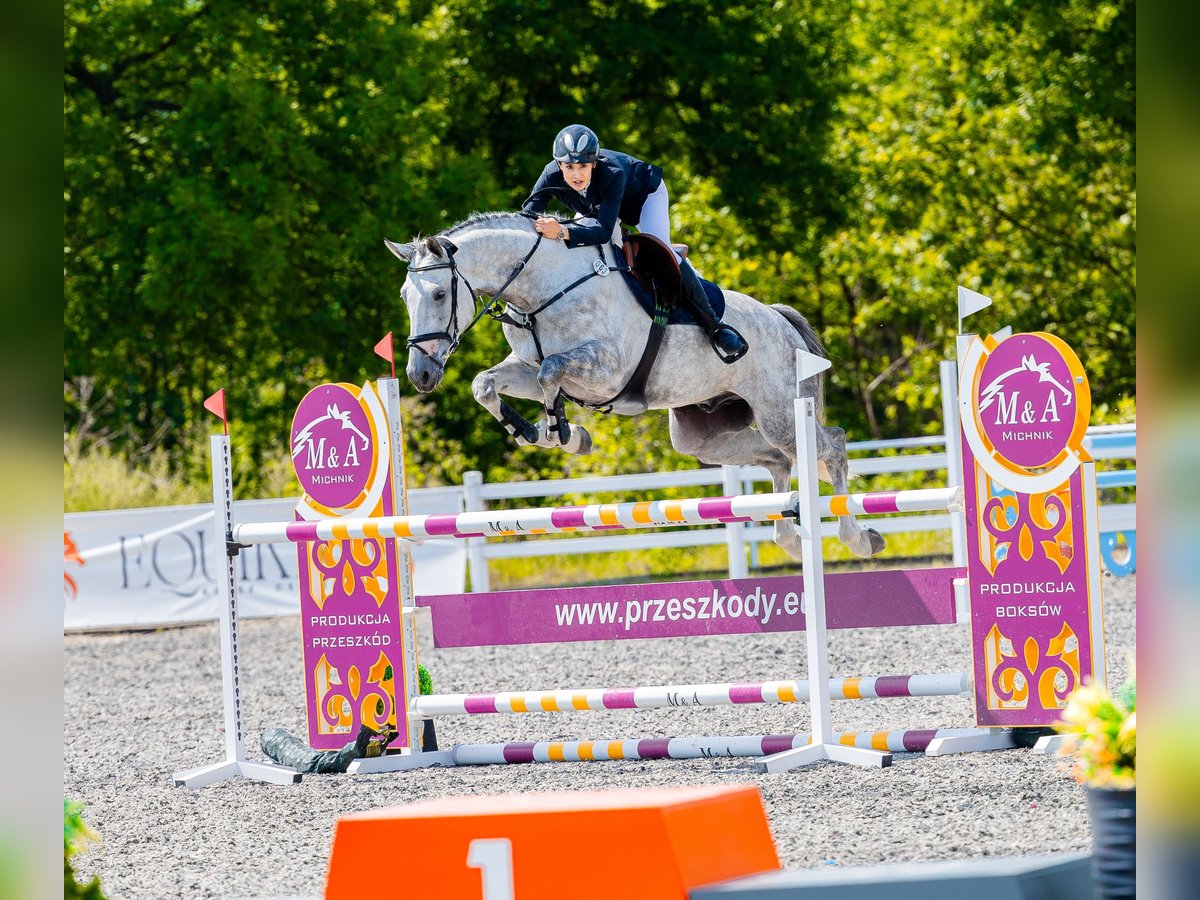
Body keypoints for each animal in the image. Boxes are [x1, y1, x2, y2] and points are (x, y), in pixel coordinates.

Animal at [384, 213, 883, 561]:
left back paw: (857, 538)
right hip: (701, 436)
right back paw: (791, 538)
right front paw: (532, 431)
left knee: (830, 445)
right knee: (779, 459)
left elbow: (552, 375)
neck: (543, 289)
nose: (420, 375)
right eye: (406, 297)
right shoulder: (525, 367)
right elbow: (485, 384)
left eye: (439, 294)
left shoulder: (605, 369)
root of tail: (781, 321)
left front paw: (564, 433)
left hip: (779, 410)